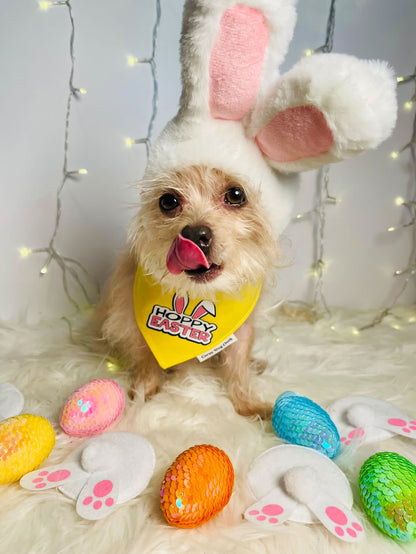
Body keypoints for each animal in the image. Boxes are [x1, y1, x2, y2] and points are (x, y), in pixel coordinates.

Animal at [96, 0, 394, 414]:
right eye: (168, 201)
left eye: (236, 195)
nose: (195, 234)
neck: (197, 301)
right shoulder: (132, 319)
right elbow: (146, 358)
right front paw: (143, 393)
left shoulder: (244, 325)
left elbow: (237, 366)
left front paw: (248, 404)